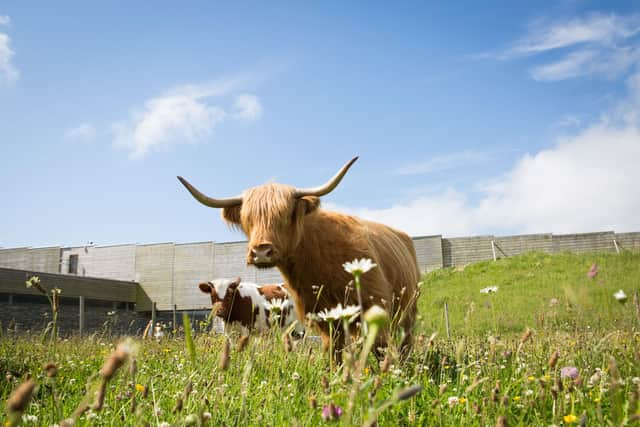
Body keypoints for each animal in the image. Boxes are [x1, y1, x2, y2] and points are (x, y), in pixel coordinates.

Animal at [179, 157, 420, 358]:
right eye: (248, 219)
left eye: (285, 215)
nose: (261, 252)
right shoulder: (325, 318)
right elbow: (334, 353)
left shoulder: (375, 305)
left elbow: (379, 349)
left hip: (407, 311)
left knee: (405, 342)